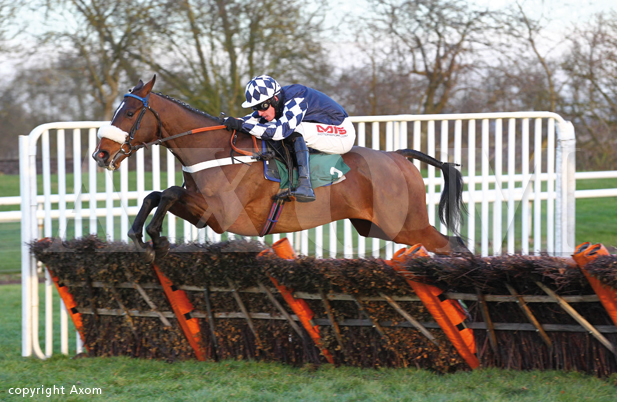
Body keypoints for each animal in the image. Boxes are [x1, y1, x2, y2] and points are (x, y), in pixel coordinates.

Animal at [91, 76, 466, 262]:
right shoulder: (203, 208)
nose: (100, 154)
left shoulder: (223, 215)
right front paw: (143, 239)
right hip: (377, 226)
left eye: (128, 113)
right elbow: (155, 195)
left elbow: (167, 193)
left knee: (453, 244)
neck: (216, 150)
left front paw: (156, 238)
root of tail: (399, 157)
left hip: (406, 223)